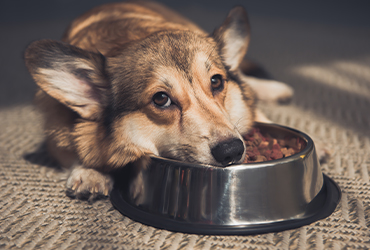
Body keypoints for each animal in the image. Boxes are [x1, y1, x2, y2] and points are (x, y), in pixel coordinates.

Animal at [24, 0, 294, 201]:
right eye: (161, 99)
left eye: (217, 81)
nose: (232, 151)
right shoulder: (56, 137)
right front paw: (90, 172)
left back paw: (275, 89)